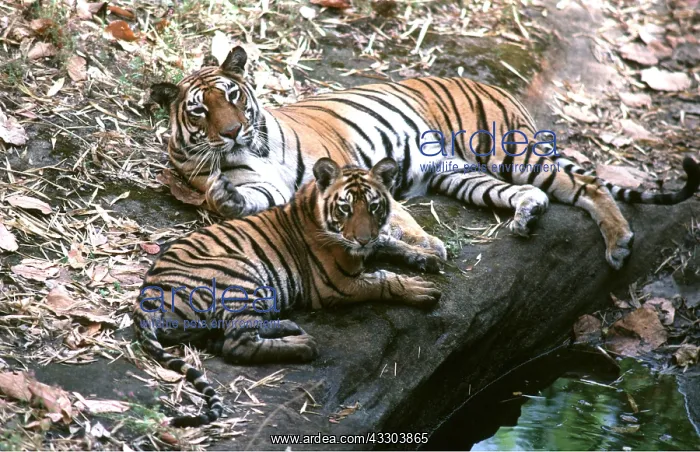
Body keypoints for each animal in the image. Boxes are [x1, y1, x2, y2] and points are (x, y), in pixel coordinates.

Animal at [133, 157, 443, 428]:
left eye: (374, 206)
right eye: (345, 208)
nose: (362, 239)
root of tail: (143, 300)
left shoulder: (372, 243)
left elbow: (390, 242)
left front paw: (426, 257)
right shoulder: (337, 283)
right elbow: (383, 280)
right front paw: (419, 288)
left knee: (225, 339)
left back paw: (288, 326)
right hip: (241, 276)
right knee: (237, 345)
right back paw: (304, 344)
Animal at [151, 45, 700, 269]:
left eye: (233, 96)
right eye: (200, 110)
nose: (232, 132)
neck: (256, 147)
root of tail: (501, 87)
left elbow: (399, 218)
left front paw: (428, 247)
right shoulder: (264, 187)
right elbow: (237, 198)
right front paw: (222, 194)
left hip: (511, 151)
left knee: (588, 182)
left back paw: (620, 242)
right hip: (461, 176)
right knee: (530, 194)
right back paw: (525, 218)